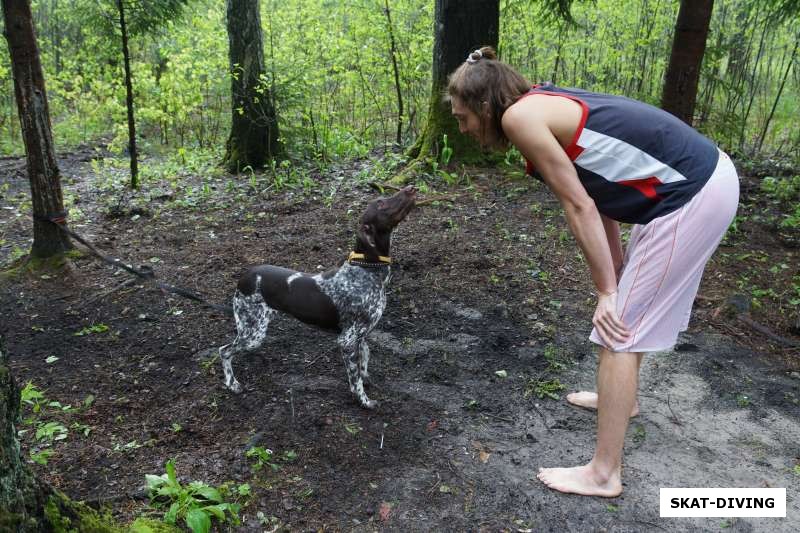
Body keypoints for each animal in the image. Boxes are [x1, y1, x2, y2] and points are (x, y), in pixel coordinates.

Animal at [220, 185, 418, 410]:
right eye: (381, 204)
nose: (411, 188)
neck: (367, 269)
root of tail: (245, 276)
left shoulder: (361, 335)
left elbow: (365, 358)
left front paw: (366, 378)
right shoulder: (347, 340)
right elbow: (355, 379)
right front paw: (364, 401)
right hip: (253, 333)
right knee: (224, 351)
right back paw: (232, 383)